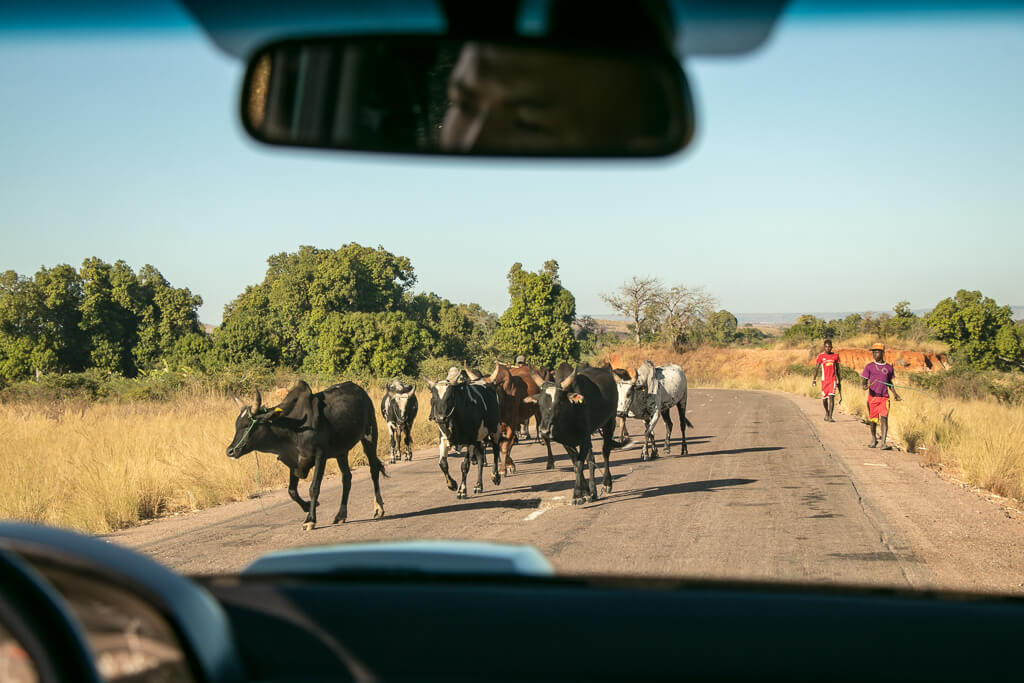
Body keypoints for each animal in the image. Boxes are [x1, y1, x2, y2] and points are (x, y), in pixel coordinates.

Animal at [226, 382, 385, 532]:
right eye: (236, 425)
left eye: (248, 425)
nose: (230, 451)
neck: (292, 428)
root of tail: (361, 391)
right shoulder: (293, 462)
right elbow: (292, 491)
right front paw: (307, 506)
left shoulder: (320, 456)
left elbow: (314, 488)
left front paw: (310, 519)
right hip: (341, 451)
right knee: (347, 478)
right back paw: (341, 515)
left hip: (370, 436)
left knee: (373, 470)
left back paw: (378, 508)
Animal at [425, 370, 501, 499]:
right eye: (433, 397)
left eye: (450, 397)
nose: (440, 418)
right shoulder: (443, 440)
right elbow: (443, 464)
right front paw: (452, 485)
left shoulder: (471, 440)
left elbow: (465, 465)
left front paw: (461, 490)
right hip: (479, 440)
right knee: (480, 458)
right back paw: (478, 485)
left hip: (494, 430)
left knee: (495, 451)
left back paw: (495, 476)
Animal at [524, 366, 626, 505]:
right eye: (540, 403)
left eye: (559, 403)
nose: (545, 431)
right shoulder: (566, 443)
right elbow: (576, 465)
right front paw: (585, 493)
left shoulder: (584, 439)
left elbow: (579, 463)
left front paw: (577, 495)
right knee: (591, 460)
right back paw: (593, 492)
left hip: (610, 422)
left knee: (605, 451)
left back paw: (606, 483)